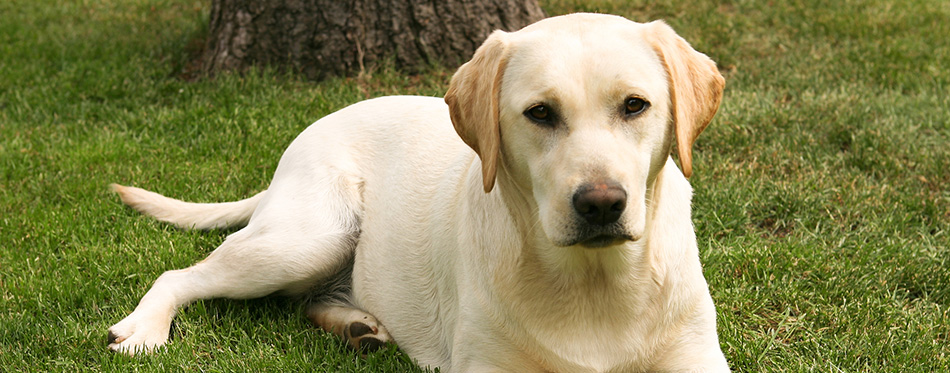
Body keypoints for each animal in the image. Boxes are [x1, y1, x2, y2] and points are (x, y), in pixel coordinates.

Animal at [106, 13, 728, 370]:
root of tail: (308, 133)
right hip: (308, 238)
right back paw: (143, 330)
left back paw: (358, 328)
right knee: (181, 275)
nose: (601, 203)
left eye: (635, 105)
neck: (595, 284)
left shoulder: (696, 357)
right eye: (540, 113)